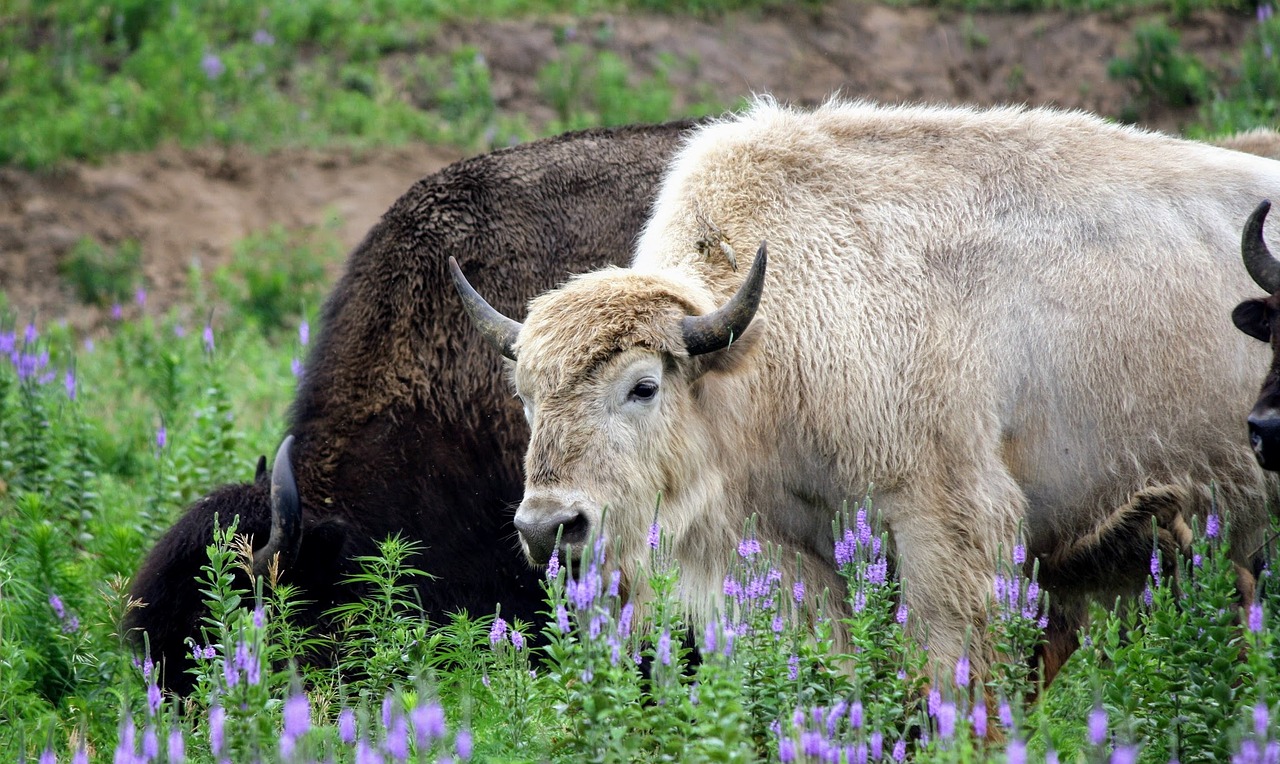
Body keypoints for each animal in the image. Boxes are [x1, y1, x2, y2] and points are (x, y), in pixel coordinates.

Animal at [455, 98, 1280, 685]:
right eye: (526, 395)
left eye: (644, 386)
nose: (549, 527)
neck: (766, 346)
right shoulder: (792, 553)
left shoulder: (945, 523)